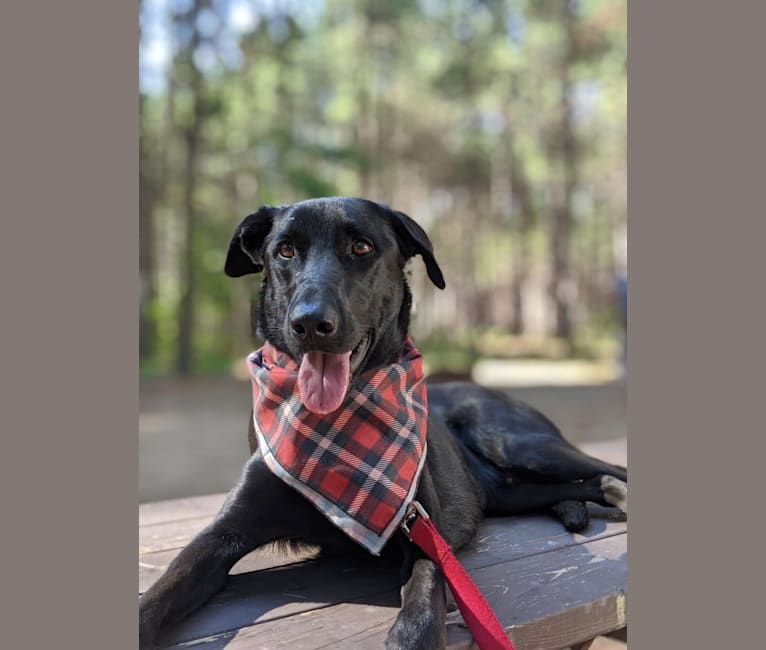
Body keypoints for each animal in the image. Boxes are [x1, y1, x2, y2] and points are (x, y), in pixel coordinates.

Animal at [140, 196, 632, 648]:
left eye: (361, 246)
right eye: (284, 251)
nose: (310, 323)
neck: (334, 433)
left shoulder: (424, 532)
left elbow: (422, 604)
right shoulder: (219, 536)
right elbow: (157, 595)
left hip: (519, 444)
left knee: (607, 467)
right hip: (504, 491)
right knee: (577, 483)